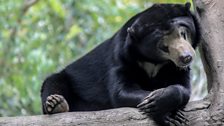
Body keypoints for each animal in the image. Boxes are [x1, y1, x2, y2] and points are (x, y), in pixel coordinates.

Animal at [41, 2, 200, 125]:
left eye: (182, 33)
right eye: (164, 47)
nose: (186, 57)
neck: (154, 61)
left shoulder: (174, 68)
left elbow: (184, 87)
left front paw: (164, 103)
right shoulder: (121, 59)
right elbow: (122, 92)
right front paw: (165, 112)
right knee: (53, 81)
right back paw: (56, 104)